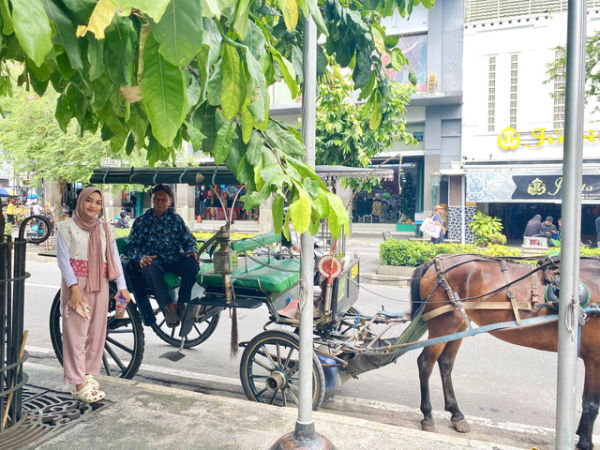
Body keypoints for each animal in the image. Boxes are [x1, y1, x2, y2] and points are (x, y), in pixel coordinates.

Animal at [410, 253, 600, 450]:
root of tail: (436, 261)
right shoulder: (594, 356)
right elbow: (591, 403)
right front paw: (585, 442)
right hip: (443, 325)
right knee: (425, 364)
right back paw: (428, 416)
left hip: (458, 325)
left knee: (445, 363)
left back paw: (456, 414)